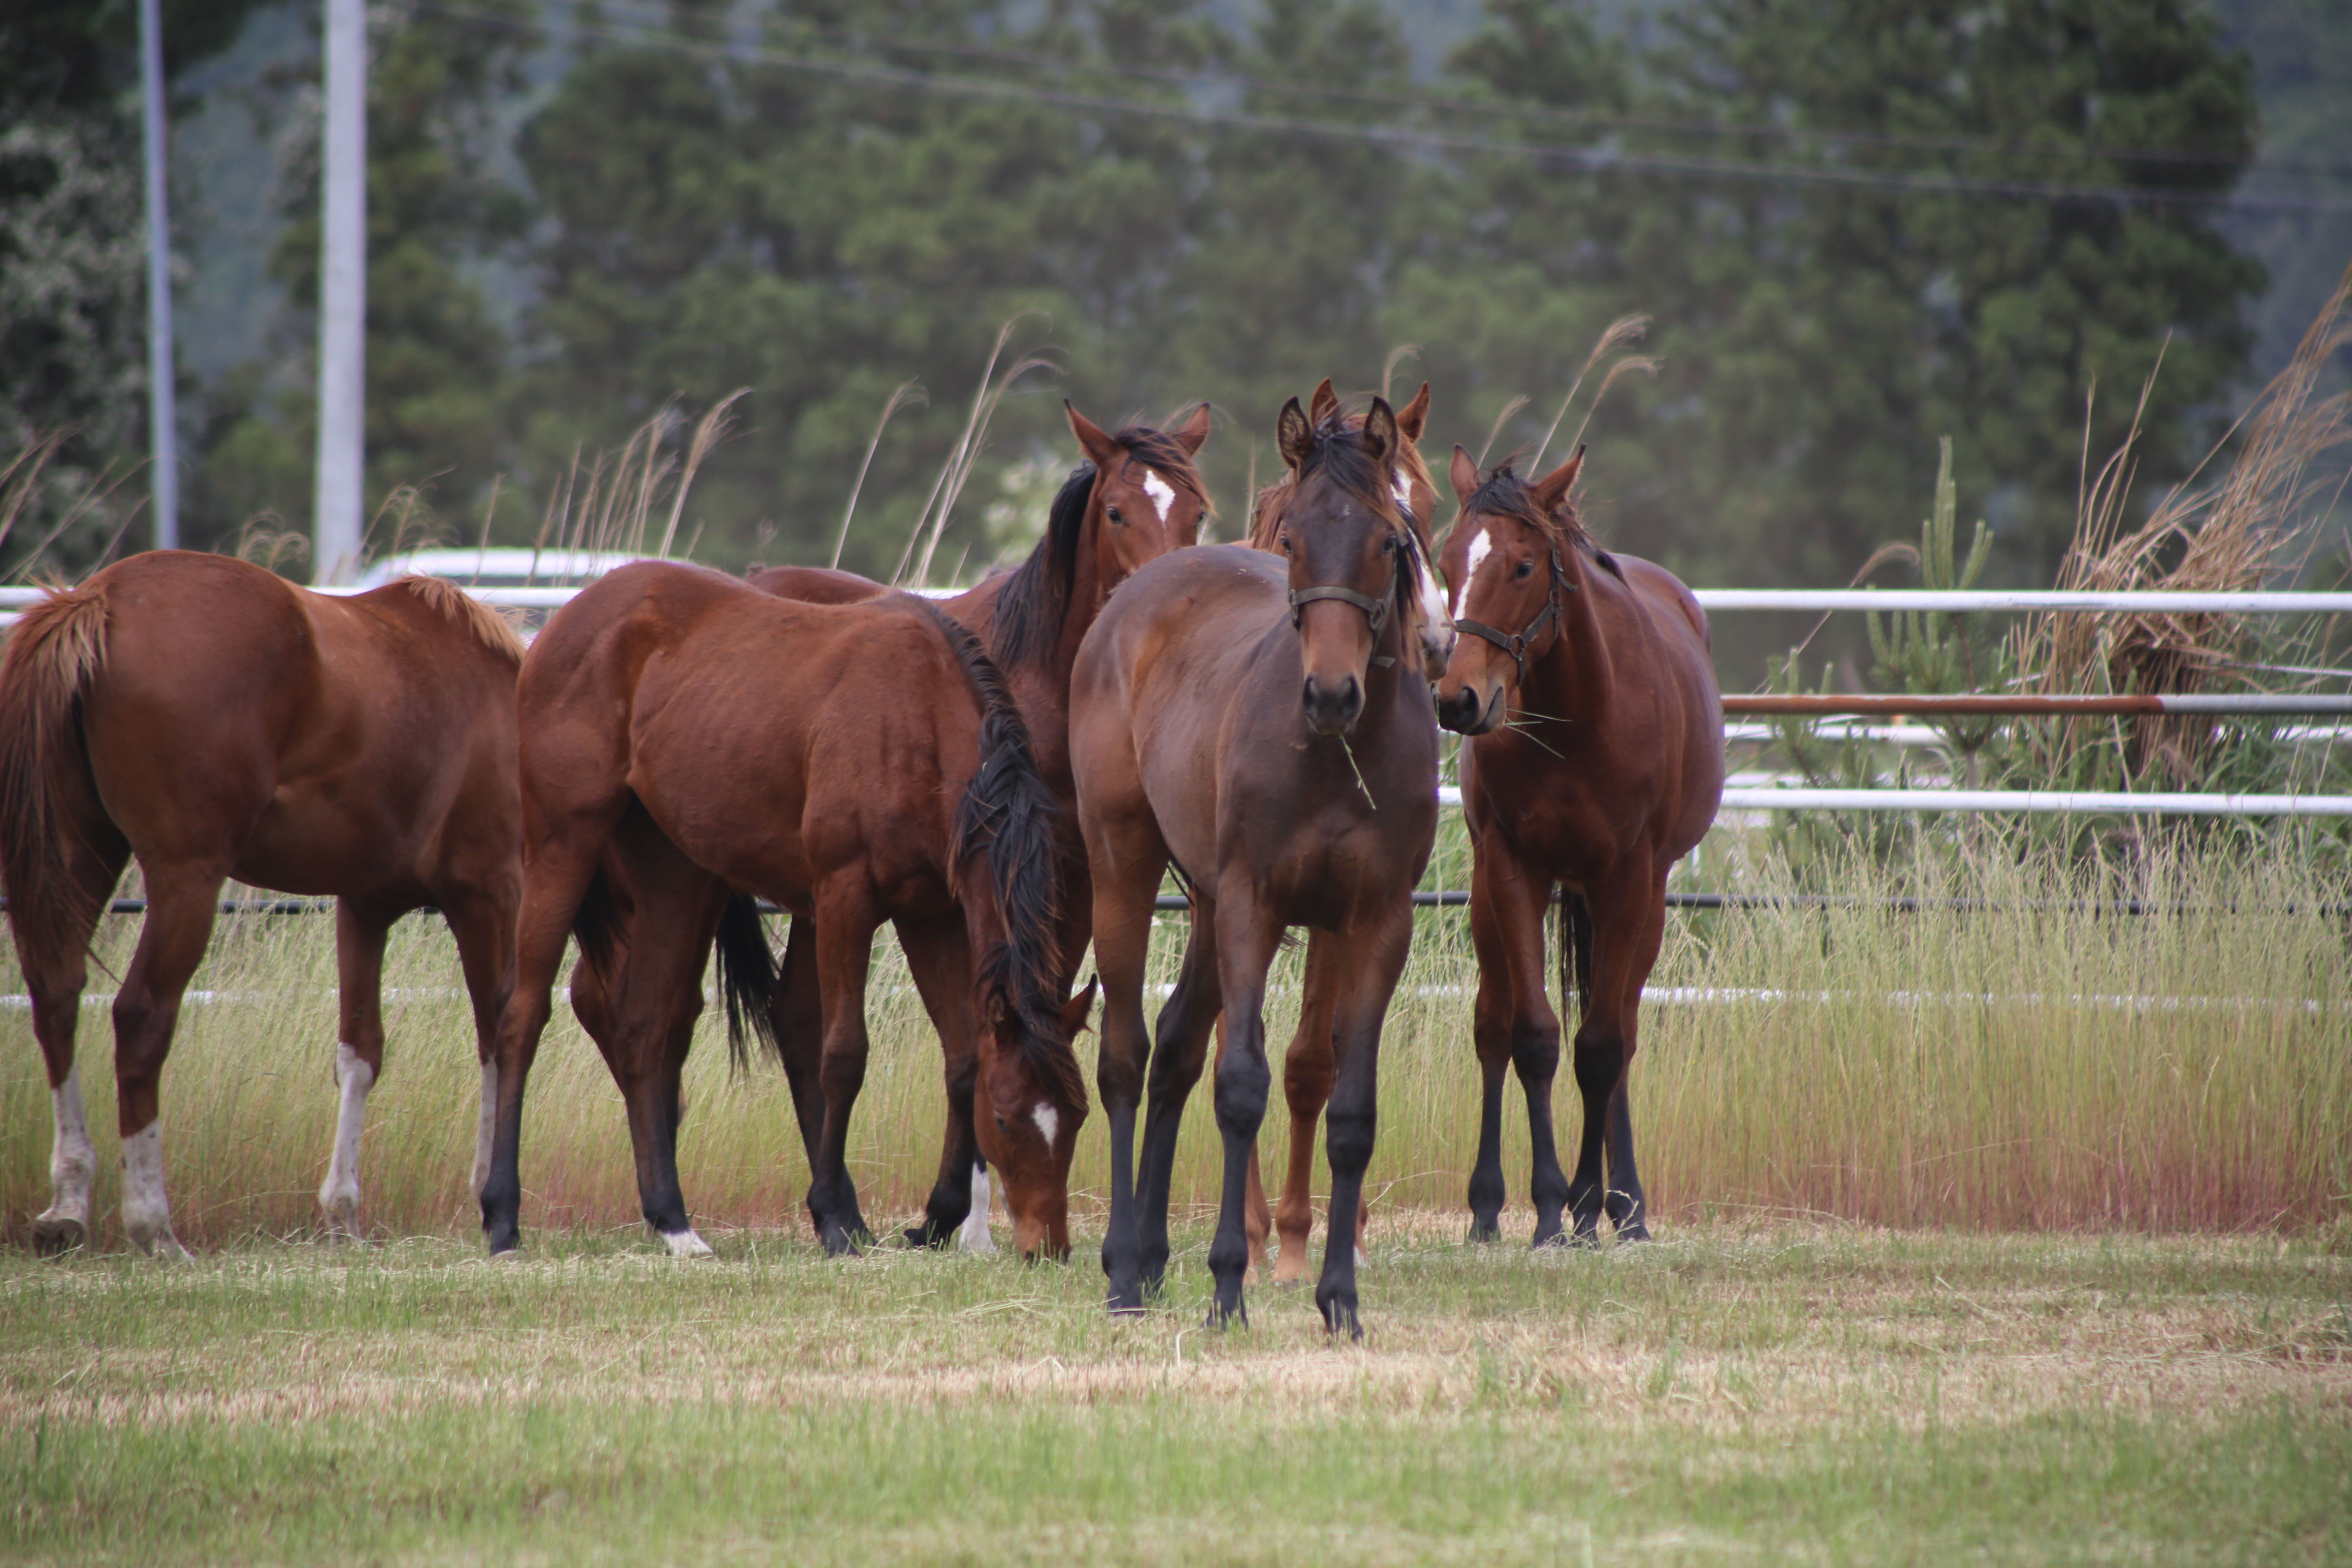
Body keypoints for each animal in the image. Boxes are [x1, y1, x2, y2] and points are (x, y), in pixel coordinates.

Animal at [0, 550, 519, 1250]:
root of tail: (99, 599)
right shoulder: (485, 895)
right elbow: (497, 1038)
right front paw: (491, 1198)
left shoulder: (364, 905)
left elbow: (360, 1051)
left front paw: (343, 1210)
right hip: (187, 880)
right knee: (141, 1017)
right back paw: (153, 1224)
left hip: (81, 856)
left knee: (57, 999)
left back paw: (69, 1204)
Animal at [491, 564, 1096, 1260]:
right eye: (1006, 1118)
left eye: (1078, 1114)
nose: (1048, 1246)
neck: (913, 717)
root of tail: (571, 616)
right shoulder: (843, 897)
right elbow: (843, 1054)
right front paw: (835, 1217)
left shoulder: (933, 915)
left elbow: (965, 1057)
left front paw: (938, 1216)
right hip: (563, 846)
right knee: (524, 1016)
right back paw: (502, 1216)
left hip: (675, 876)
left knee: (644, 1028)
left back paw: (674, 1221)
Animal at [562, 404, 1204, 1250]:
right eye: (1118, 512)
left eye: (1198, 516)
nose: (1166, 604)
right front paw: (958, 1219)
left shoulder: (1050, 892)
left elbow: (986, 1036)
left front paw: (949, 1213)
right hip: (690, 880)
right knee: (627, 1007)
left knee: (769, 1019)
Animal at [1077, 395, 1439, 1335]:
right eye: (1296, 541)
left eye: (1392, 539)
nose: (1332, 693)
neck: (1338, 755)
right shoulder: (1255, 906)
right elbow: (1241, 1085)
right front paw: (1228, 1287)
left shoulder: (1377, 921)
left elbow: (1350, 1107)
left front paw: (1339, 1298)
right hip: (1124, 870)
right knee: (1126, 1057)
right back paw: (1123, 1273)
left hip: (1204, 903)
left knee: (1173, 1048)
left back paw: (1153, 1260)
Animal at [1421, 446, 1722, 1241]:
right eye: (1446, 560)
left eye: (1524, 567)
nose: (1457, 699)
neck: (1582, 720)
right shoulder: (1512, 870)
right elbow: (1533, 1036)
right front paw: (1551, 1206)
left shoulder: (1630, 880)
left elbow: (1601, 1046)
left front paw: (1590, 1202)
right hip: (1492, 901)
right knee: (1493, 1027)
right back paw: (1491, 1207)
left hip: (1636, 903)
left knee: (1620, 1030)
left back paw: (1625, 1206)